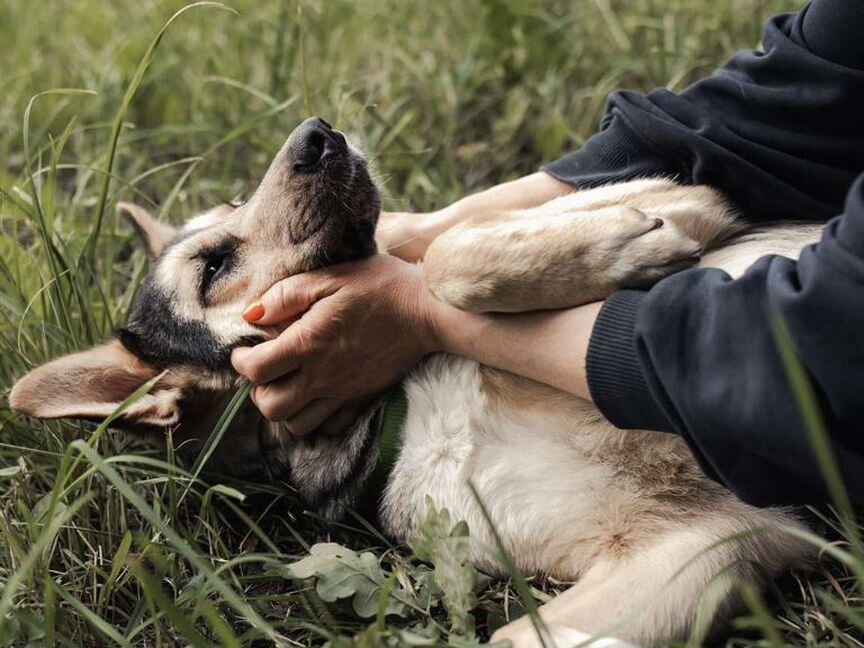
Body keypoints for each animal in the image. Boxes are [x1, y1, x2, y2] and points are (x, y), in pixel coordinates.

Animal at [10, 117, 820, 648]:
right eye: (211, 269)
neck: (400, 418)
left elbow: (445, 255)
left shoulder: (673, 195)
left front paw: (620, 240)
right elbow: (513, 639)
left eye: (235, 207)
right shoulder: (710, 540)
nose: (319, 133)